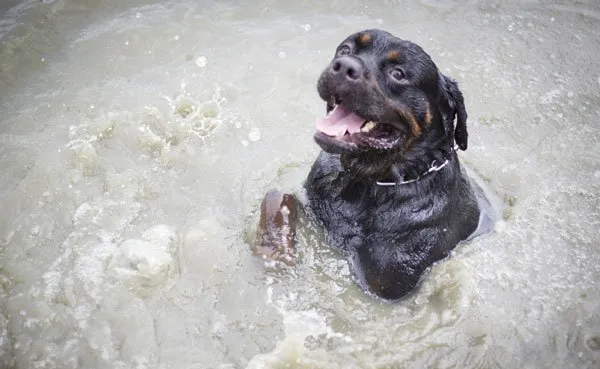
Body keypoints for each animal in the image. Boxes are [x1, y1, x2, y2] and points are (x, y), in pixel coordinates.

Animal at [255, 28, 494, 300]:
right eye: (345, 50)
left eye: (398, 73)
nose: (343, 66)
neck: (365, 183)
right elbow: (278, 200)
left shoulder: (386, 280)